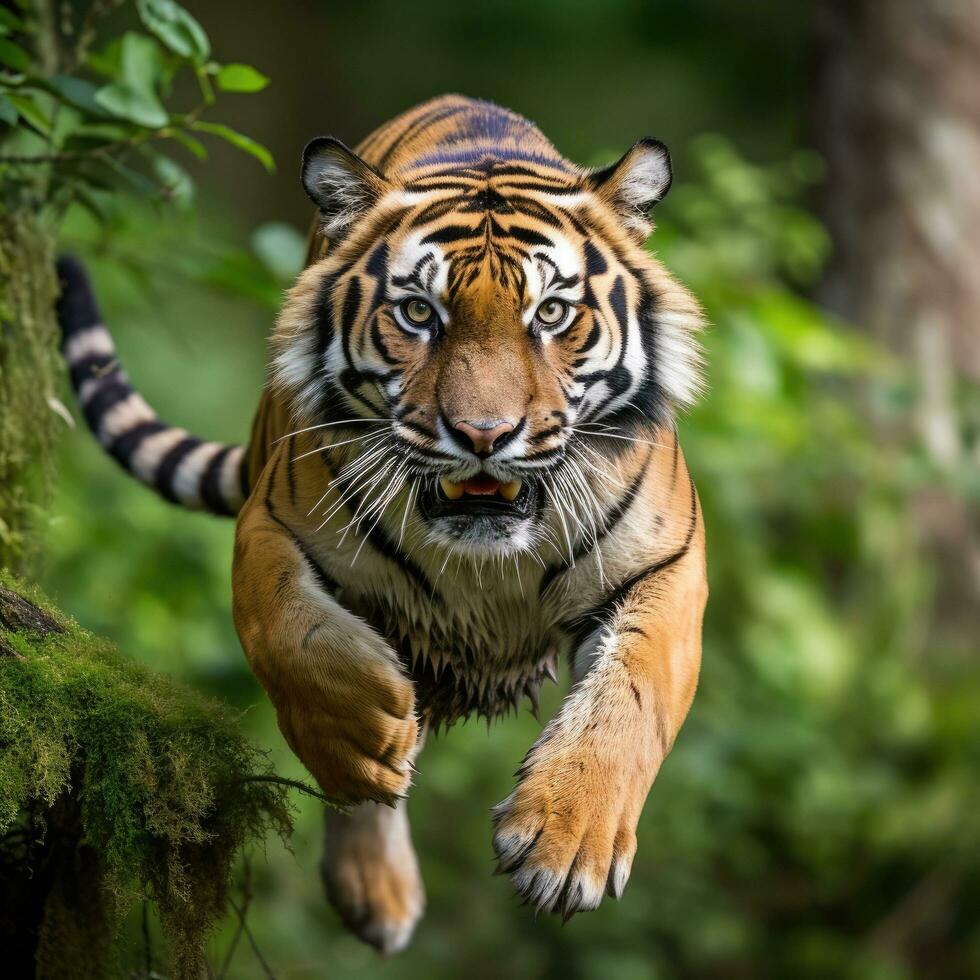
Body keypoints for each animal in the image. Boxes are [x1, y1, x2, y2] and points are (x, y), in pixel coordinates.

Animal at [55, 95, 704, 952]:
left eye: (552, 313)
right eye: (419, 313)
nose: (485, 435)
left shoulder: (667, 562)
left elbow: (632, 697)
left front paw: (567, 846)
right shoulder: (271, 524)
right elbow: (288, 634)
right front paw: (365, 737)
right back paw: (377, 882)